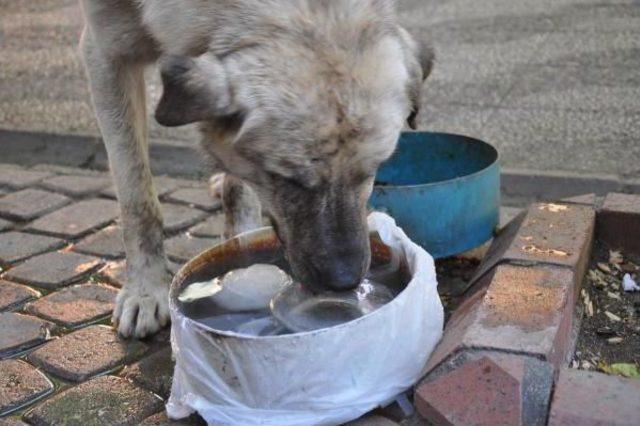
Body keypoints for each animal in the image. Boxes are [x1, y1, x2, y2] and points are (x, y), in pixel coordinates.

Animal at [79, 0, 430, 340]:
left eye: (374, 169)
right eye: (289, 180)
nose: (345, 281)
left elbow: (240, 189)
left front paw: (240, 239)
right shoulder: (105, 55)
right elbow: (137, 199)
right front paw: (145, 289)